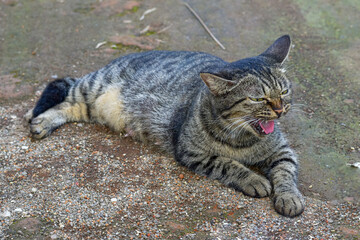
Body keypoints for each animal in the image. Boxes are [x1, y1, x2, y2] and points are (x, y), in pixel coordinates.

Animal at [25, 35, 306, 218]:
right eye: (258, 99)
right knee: (64, 92)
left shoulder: (283, 151)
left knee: (70, 106)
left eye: (284, 91)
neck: (242, 138)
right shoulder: (192, 153)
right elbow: (229, 164)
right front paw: (254, 179)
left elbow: (285, 173)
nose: (280, 109)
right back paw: (38, 119)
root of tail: (114, 61)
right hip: (92, 87)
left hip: (92, 106)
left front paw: (289, 197)